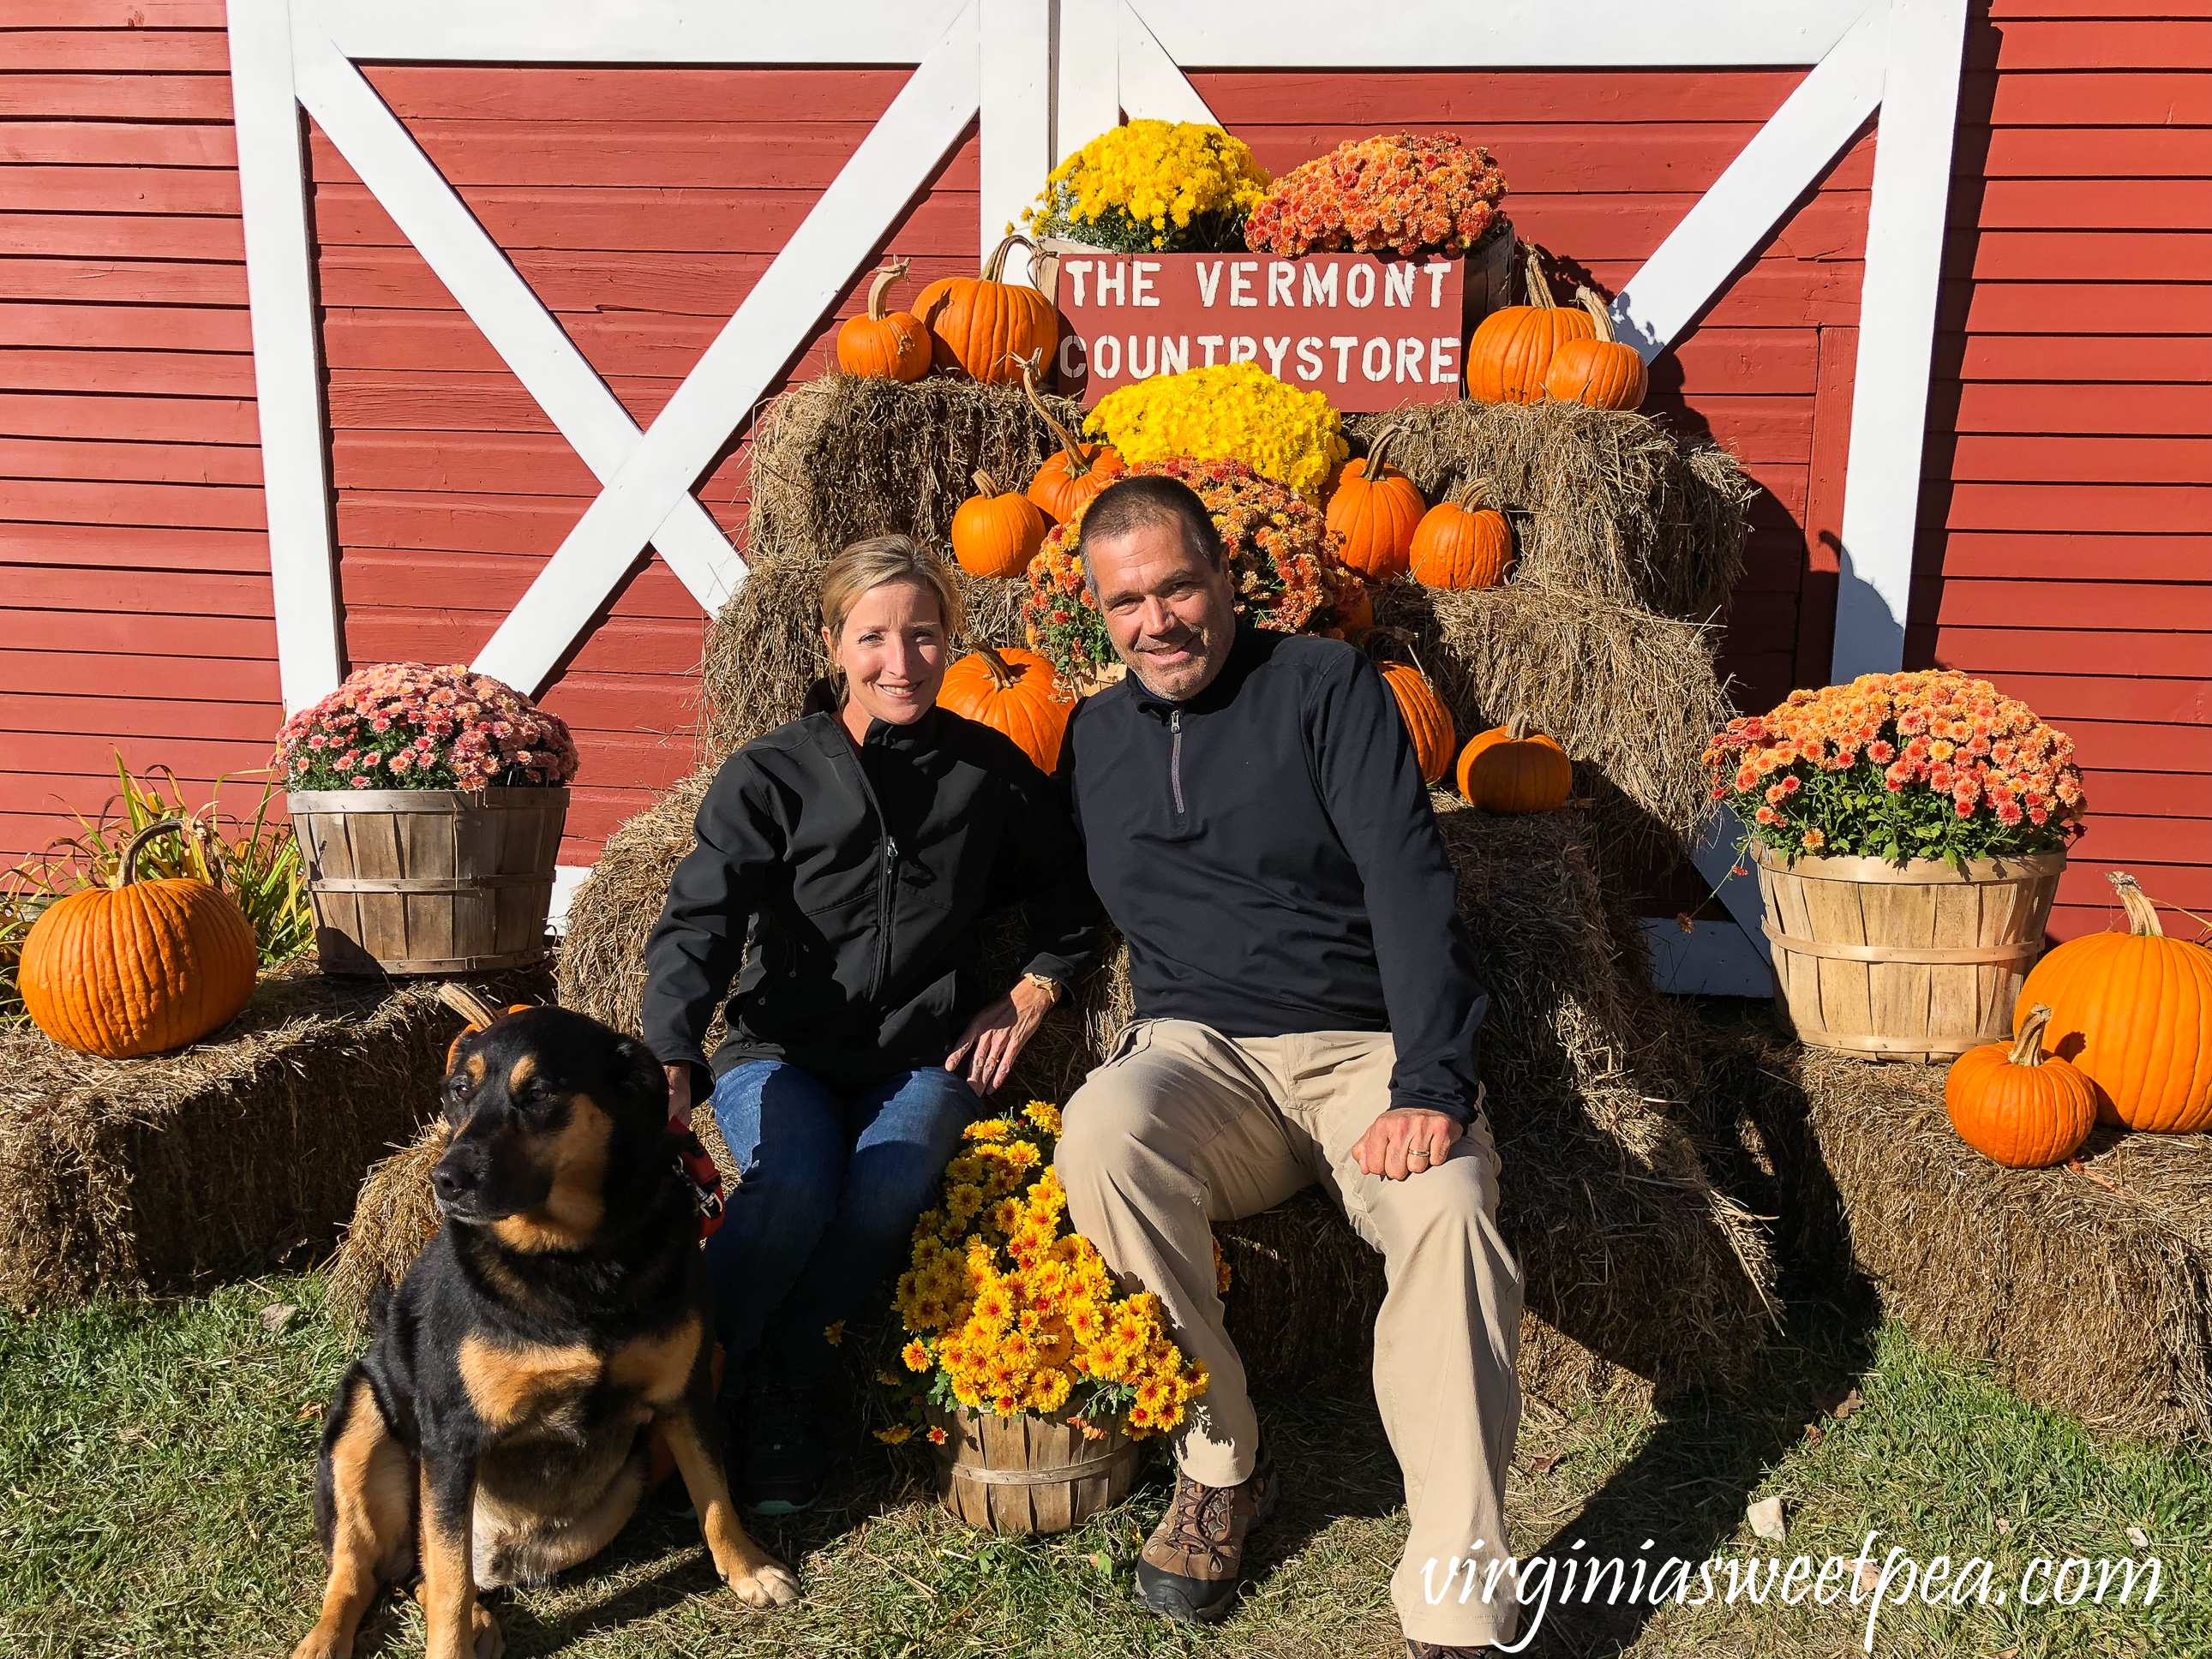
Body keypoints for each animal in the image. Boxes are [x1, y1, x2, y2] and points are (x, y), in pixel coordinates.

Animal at [294, 1009, 805, 1659]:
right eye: (459, 1090)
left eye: (538, 1094)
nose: (446, 1179)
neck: (571, 1260)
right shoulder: (453, 1438)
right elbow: (448, 1581)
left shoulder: (684, 1393)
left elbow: (714, 1494)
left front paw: (747, 1570)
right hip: (360, 1426)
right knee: (373, 1571)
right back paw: (327, 1640)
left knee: (424, 1574)